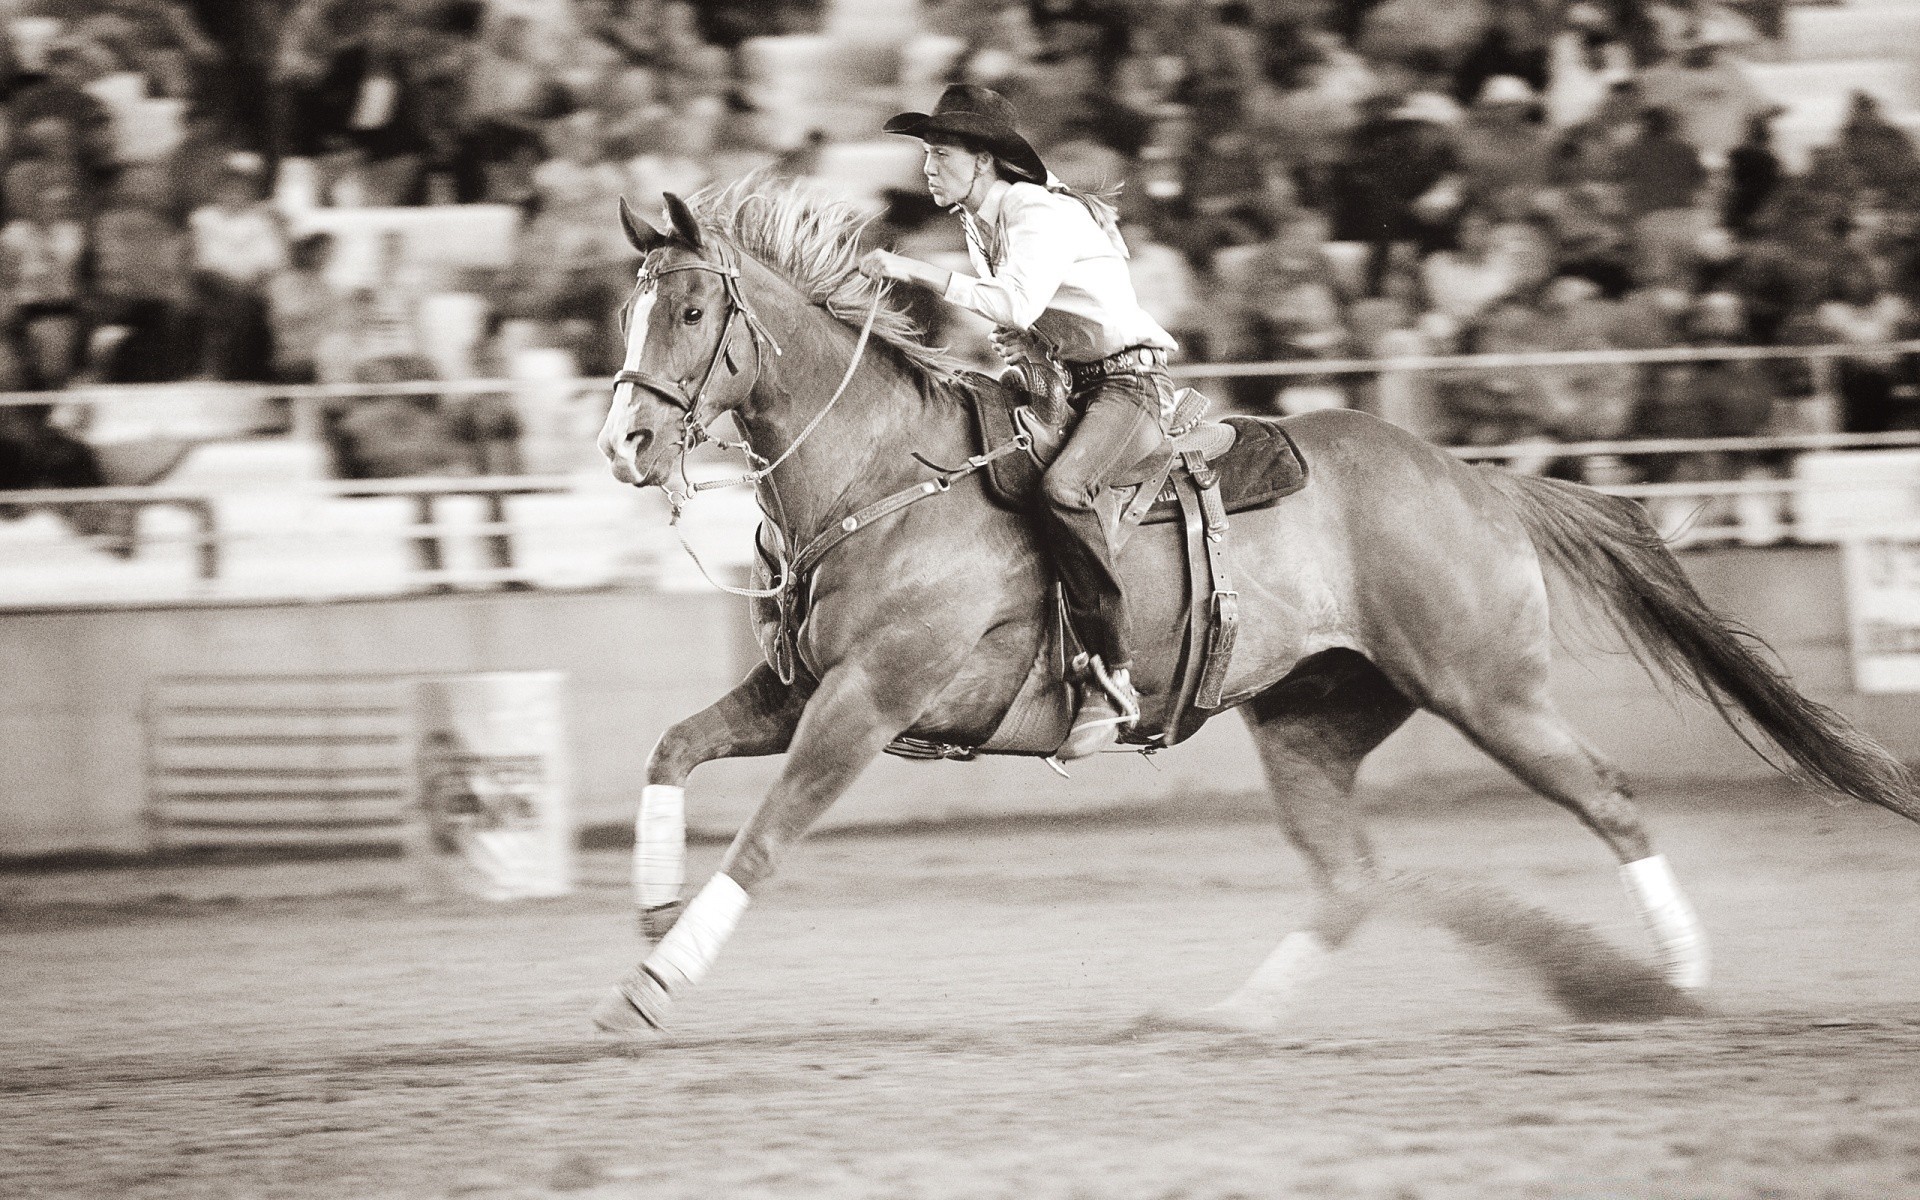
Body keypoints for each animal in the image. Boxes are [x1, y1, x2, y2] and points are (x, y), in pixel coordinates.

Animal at [589, 177, 1919, 1036]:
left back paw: (1681, 980)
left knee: (1611, 799)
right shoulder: (798, 689)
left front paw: (656, 982)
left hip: (1485, 689)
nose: (623, 443)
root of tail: (1477, 478)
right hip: (1311, 718)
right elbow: (669, 747)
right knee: (1351, 880)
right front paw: (651, 906)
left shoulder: (869, 700)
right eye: (630, 309)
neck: (887, 476)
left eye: (694, 311)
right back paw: (1233, 1016)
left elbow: (768, 834)